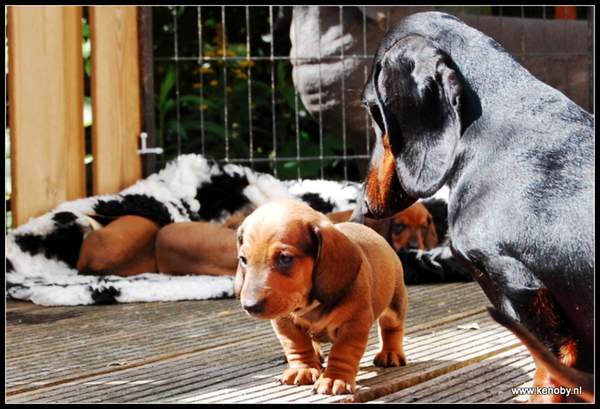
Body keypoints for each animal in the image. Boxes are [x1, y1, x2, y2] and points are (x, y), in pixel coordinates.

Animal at [234, 199, 408, 394]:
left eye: (285, 258)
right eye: (243, 259)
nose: (251, 306)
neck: (310, 304)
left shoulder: (355, 323)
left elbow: (343, 350)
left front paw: (335, 378)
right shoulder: (283, 322)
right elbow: (296, 345)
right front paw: (302, 369)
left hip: (395, 304)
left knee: (391, 328)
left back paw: (390, 353)